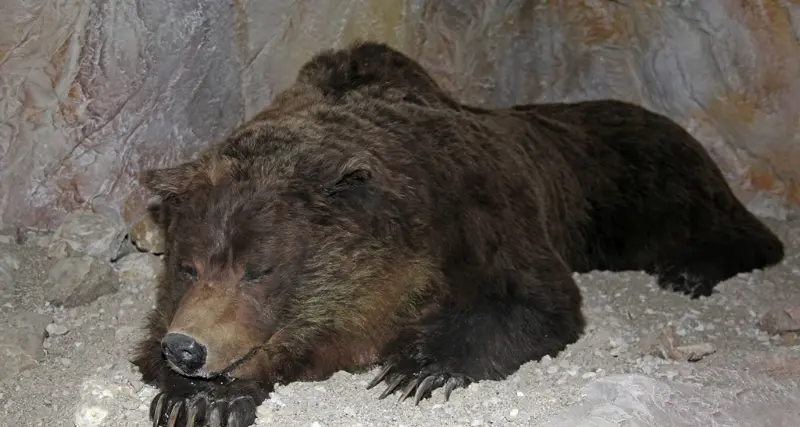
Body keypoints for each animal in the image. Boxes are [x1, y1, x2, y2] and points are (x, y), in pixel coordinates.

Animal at [131, 40, 785, 427]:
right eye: (189, 266)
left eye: (260, 269)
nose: (187, 347)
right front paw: (198, 401)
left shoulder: (481, 211)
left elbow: (535, 301)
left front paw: (418, 368)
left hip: (642, 180)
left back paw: (691, 269)